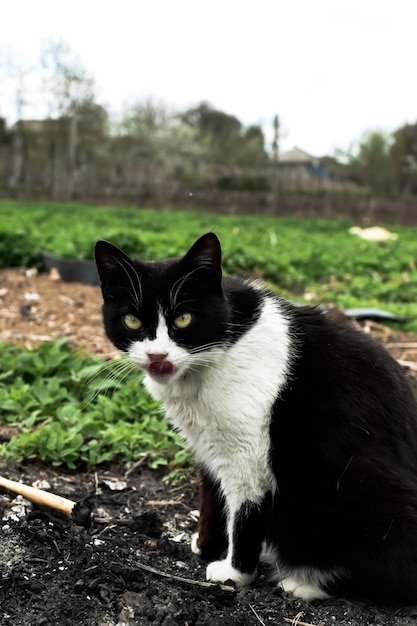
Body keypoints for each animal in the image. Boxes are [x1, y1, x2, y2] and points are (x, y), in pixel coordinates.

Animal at [95, 232, 417, 604]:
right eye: (132, 320)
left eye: (184, 319)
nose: (156, 355)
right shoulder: (207, 443)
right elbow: (212, 496)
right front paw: (206, 546)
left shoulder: (247, 455)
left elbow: (245, 512)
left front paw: (235, 573)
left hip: (353, 490)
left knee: (393, 576)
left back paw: (303, 582)